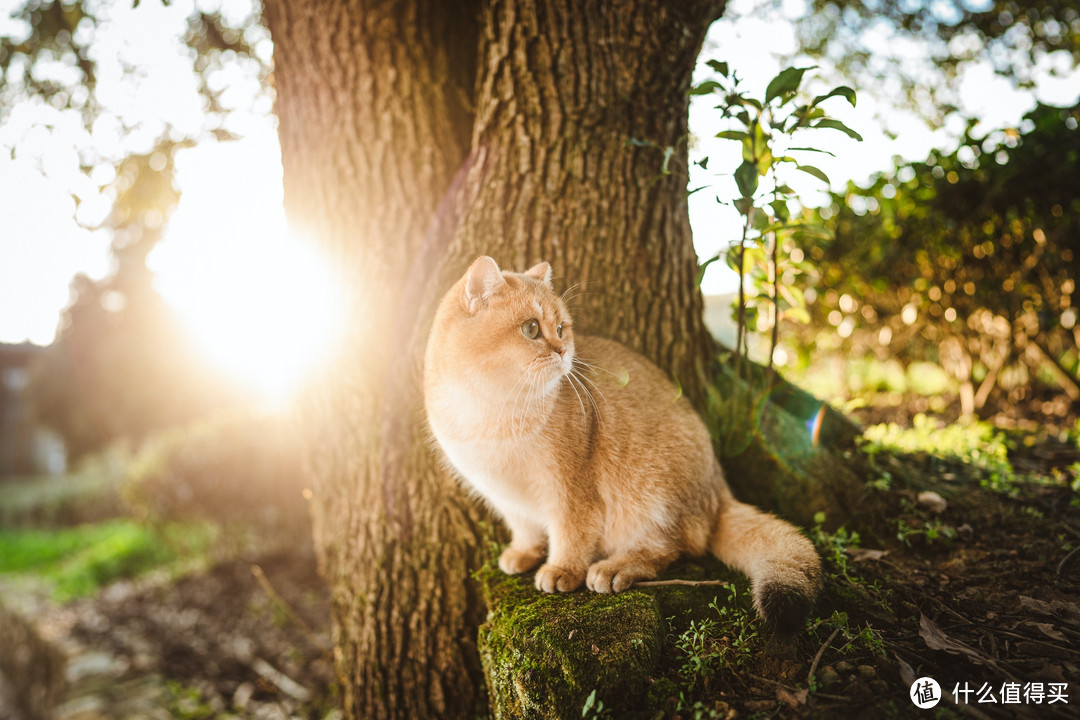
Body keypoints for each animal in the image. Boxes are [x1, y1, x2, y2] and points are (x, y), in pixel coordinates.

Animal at [425, 255, 820, 634]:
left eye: (561, 328)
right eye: (531, 329)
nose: (563, 351)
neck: (492, 413)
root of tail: (718, 490)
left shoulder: (571, 489)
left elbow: (571, 532)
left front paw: (562, 569)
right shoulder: (504, 494)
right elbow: (524, 527)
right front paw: (523, 553)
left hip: (651, 495)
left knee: (672, 547)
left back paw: (615, 569)